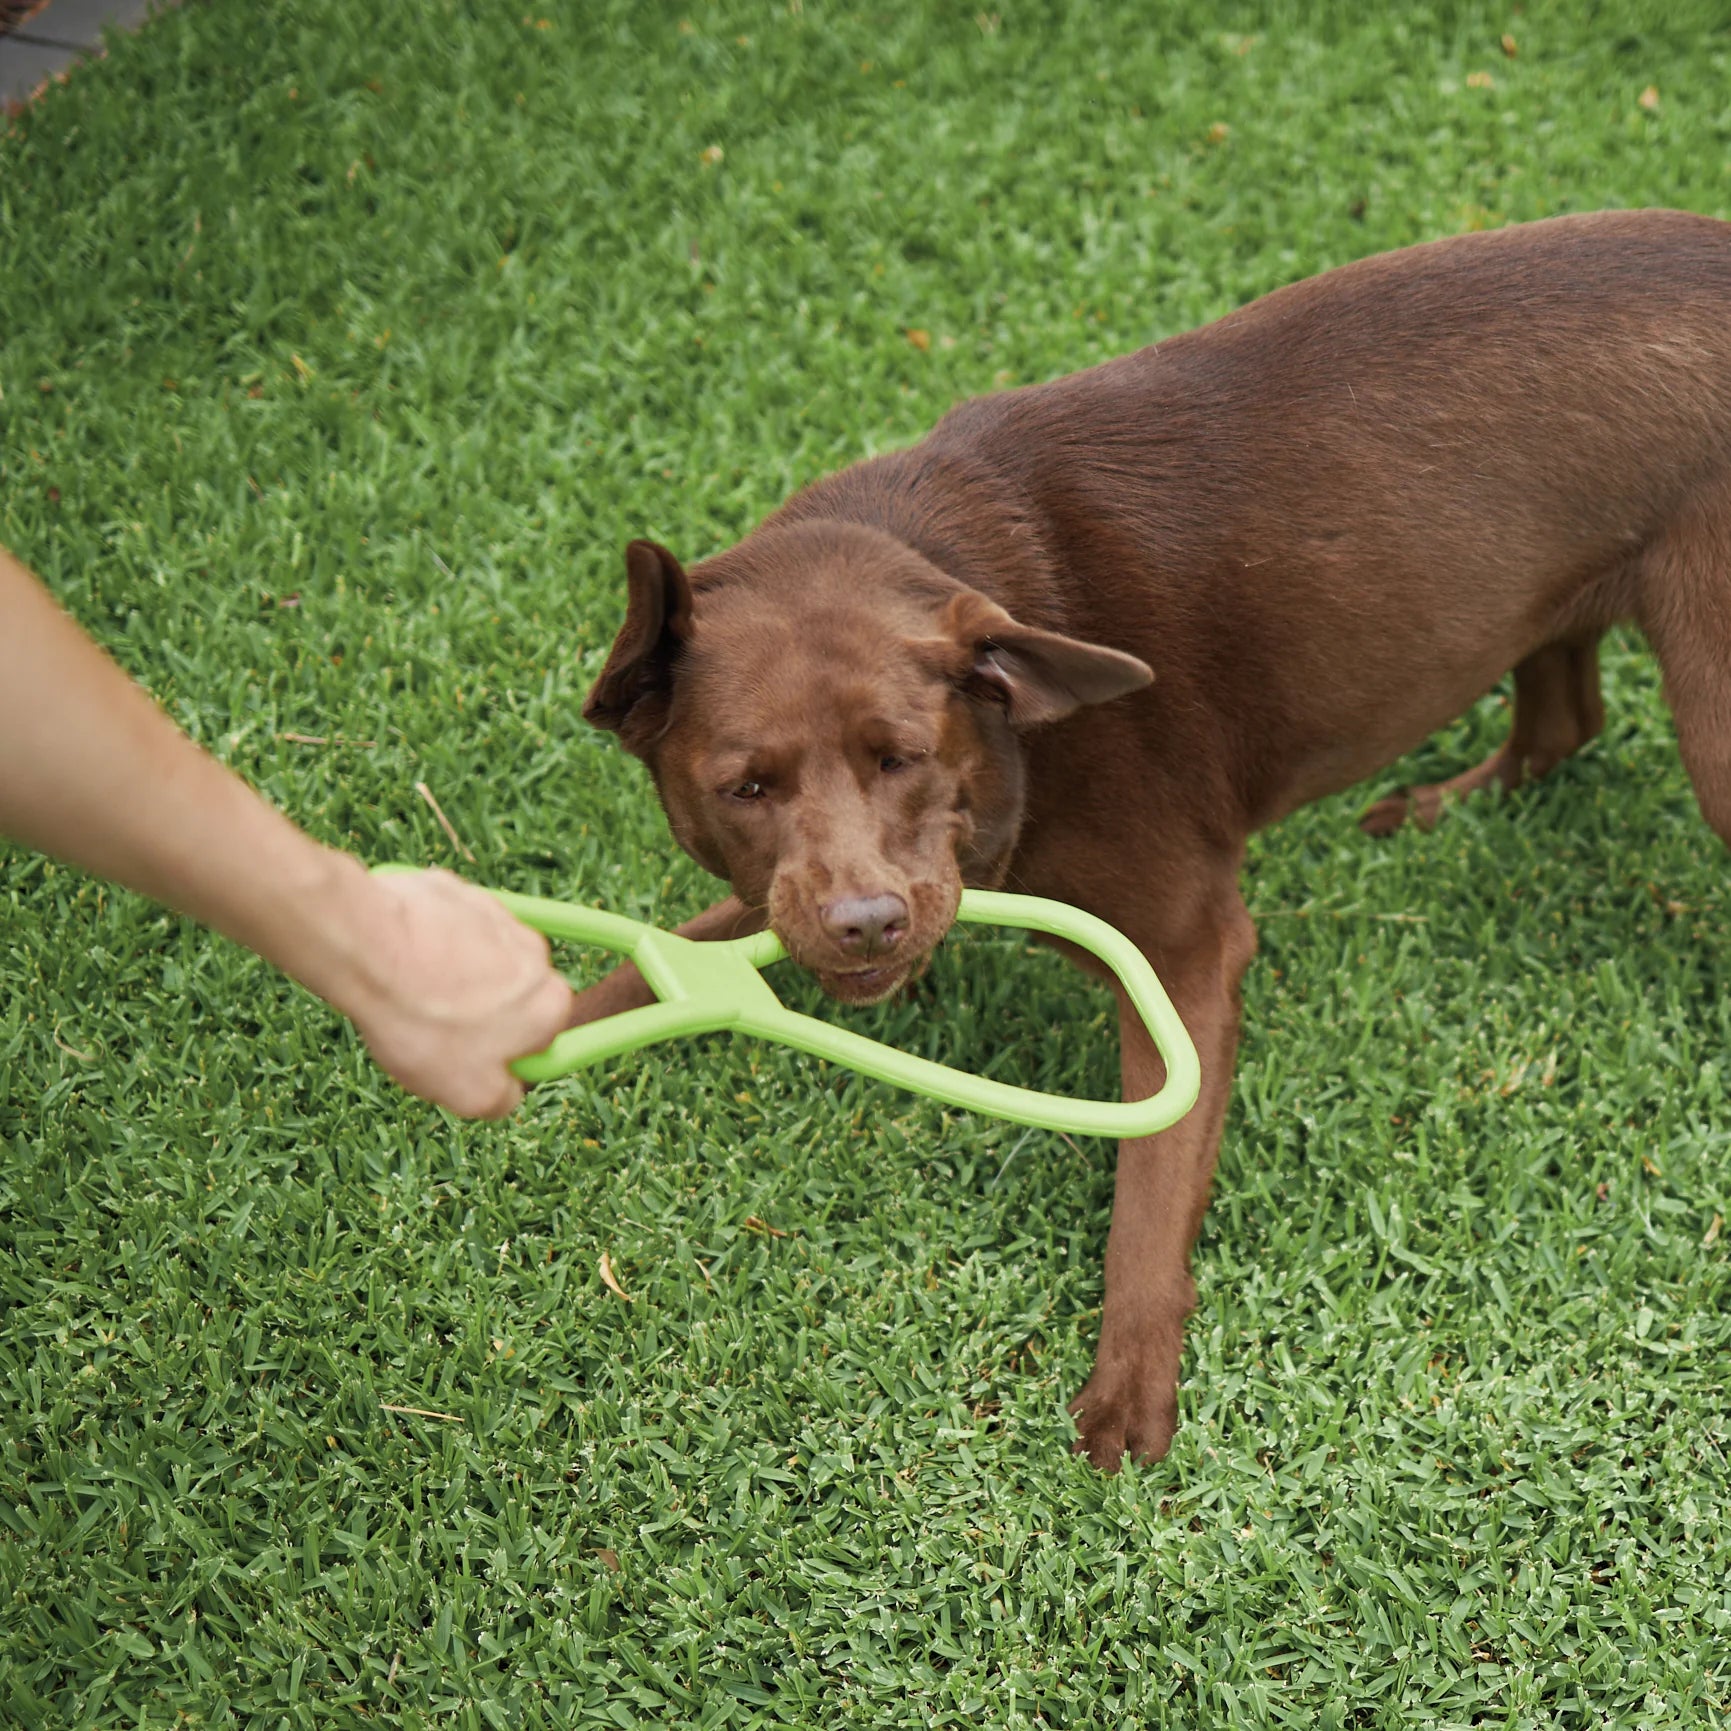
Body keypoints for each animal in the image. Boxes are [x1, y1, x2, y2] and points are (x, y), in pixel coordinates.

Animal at [574, 209, 1731, 1467]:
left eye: (904, 756)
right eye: (745, 786)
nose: (867, 924)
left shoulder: (1186, 954)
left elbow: (1149, 1192)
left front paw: (1128, 1395)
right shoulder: (778, 896)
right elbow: (649, 958)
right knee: (1567, 718)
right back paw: (1439, 804)